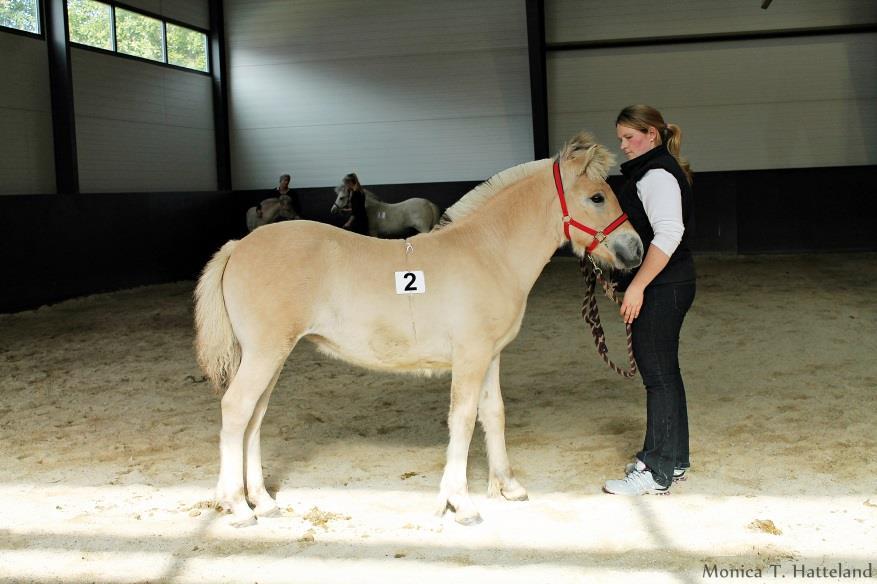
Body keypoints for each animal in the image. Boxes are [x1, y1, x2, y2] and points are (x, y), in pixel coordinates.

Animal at [193, 132, 644, 524]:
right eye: (597, 197)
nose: (635, 249)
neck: (488, 252)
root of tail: (238, 246)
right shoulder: (470, 358)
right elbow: (462, 420)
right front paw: (460, 504)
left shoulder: (491, 355)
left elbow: (493, 414)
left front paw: (508, 487)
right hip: (265, 353)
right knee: (237, 410)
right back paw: (237, 506)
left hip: (270, 356)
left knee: (254, 417)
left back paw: (263, 501)